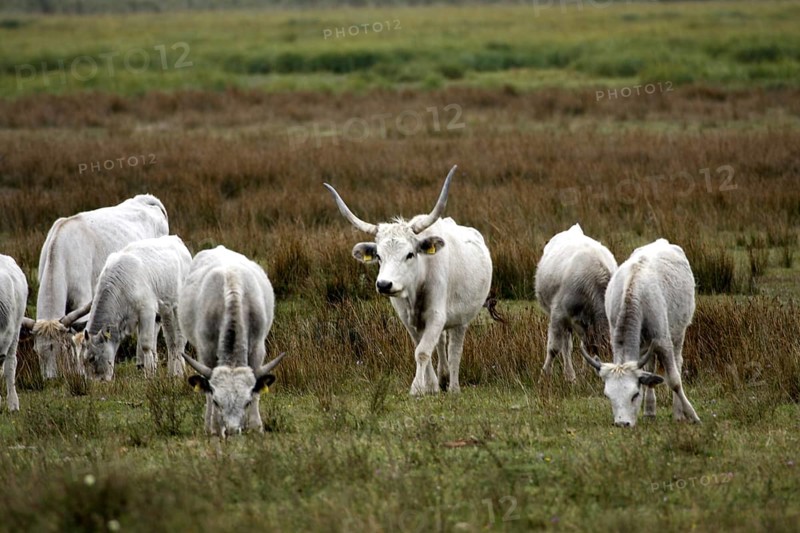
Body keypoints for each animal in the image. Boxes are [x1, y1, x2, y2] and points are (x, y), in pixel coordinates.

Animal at [75, 235, 192, 381]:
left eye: (92, 358)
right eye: (81, 361)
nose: (93, 382)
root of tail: (176, 239)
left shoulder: (147, 310)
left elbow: (146, 345)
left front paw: (149, 375)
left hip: (178, 306)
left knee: (180, 339)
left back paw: (179, 373)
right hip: (166, 309)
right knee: (171, 340)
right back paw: (172, 373)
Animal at [179, 246, 286, 437]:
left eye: (247, 402)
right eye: (217, 402)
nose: (232, 430)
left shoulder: (258, 347)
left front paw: (256, 426)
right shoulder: (205, 350)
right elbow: (207, 390)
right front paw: (214, 426)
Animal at [324, 165, 493, 395]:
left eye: (410, 254)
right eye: (378, 256)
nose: (384, 284)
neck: (415, 289)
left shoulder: (436, 315)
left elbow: (422, 352)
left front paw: (417, 388)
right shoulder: (408, 319)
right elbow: (421, 349)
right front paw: (430, 386)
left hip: (462, 318)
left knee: (454, 350)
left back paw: (454, 387)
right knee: (441, 344)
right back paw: (442, 378)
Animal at [580, 238, 701, 427]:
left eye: (635, 394)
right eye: (607, 395)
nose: (622, 423)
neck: (634, 293)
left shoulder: (662, 339)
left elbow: (674, 380)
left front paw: (692, 414)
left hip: (679, 332)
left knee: (678, 362)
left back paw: (678, 412)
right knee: (650, 368)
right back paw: (650, 410)